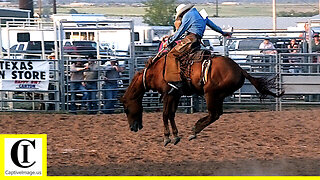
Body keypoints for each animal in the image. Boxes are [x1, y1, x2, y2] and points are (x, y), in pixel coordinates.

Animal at [120, 51, 282, 146]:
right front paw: (176, 136)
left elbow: (165, 114)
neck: (156, 71)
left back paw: (194, 130)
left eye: (127, 109)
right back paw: (195, 130)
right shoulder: (176, 94)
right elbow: (171, 114)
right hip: (219, 95)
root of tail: (240, 69)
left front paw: (167, 137)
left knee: (213, 114)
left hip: (210, 93)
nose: (133, 128)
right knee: (216, 114)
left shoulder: (168, 94)